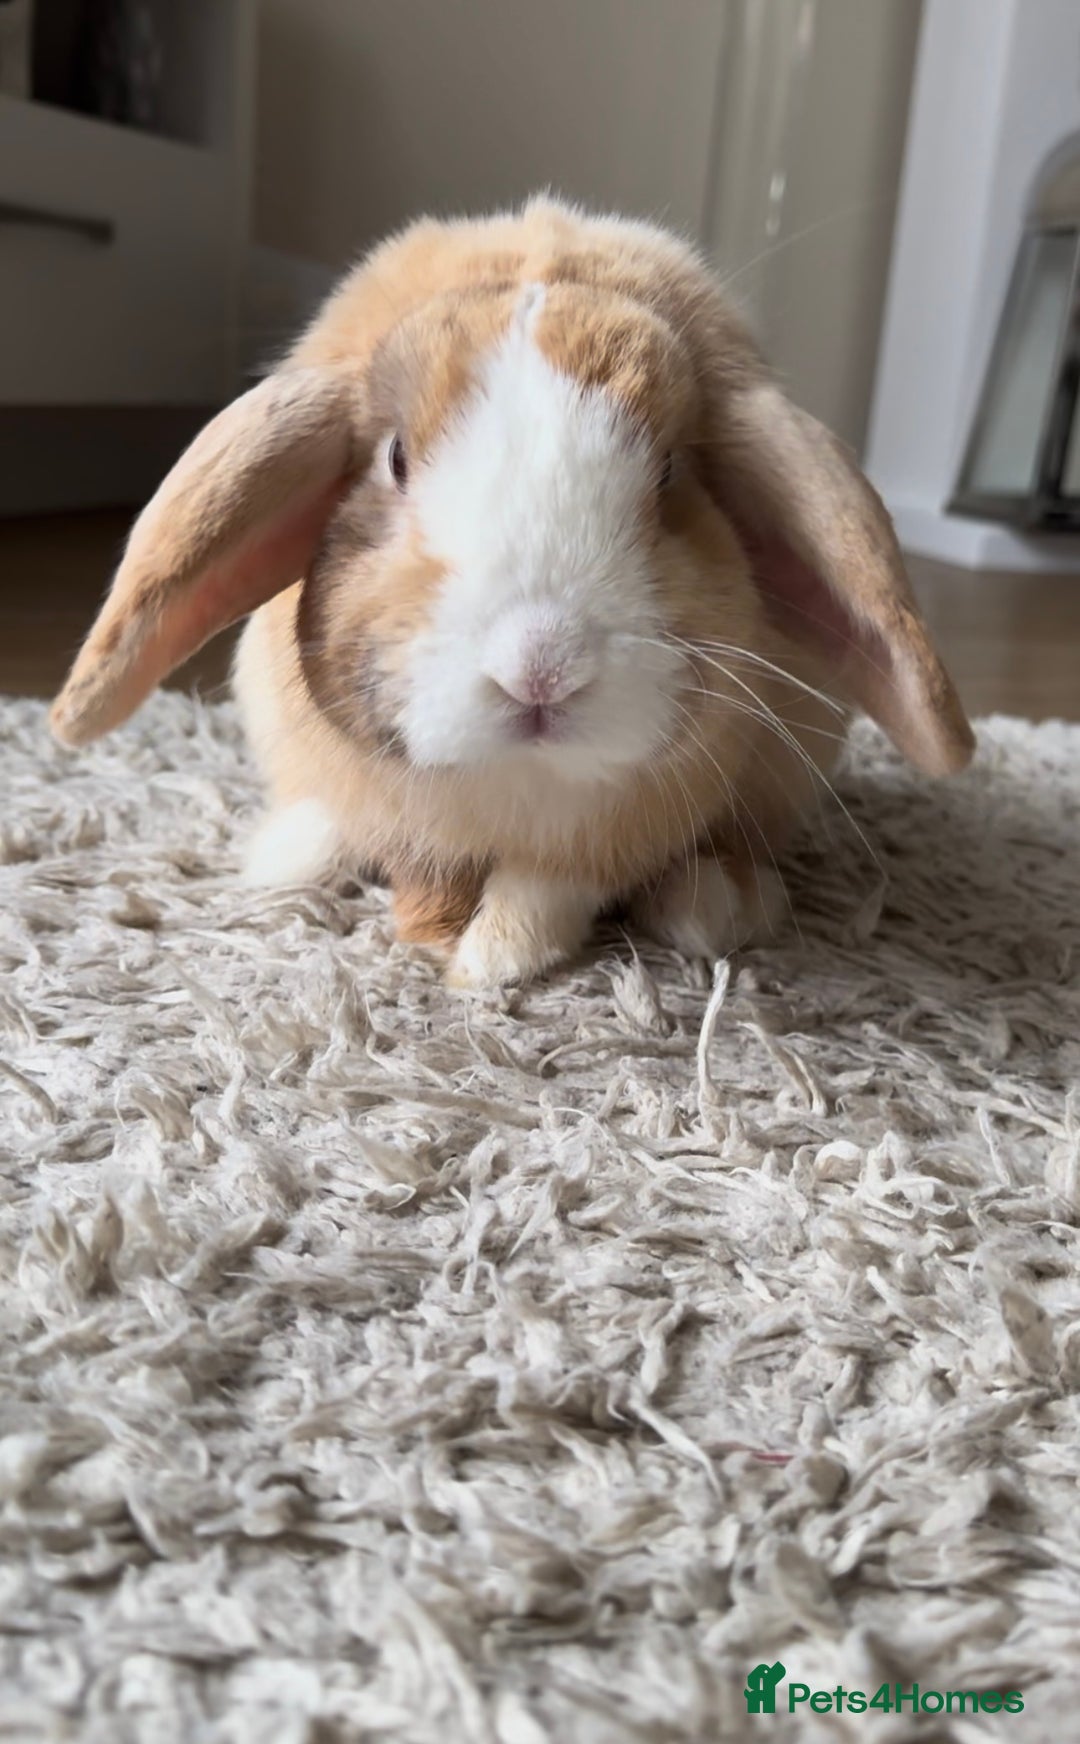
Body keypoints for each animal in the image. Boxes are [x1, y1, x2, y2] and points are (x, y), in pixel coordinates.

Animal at [50, 197, 974, 989]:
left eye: (670, 473)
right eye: (395, 459)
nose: (541, 669)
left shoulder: (592, 847)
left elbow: (543, 893)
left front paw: (490, 959)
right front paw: (404, 918)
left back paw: (717, 906)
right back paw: (290, 854)